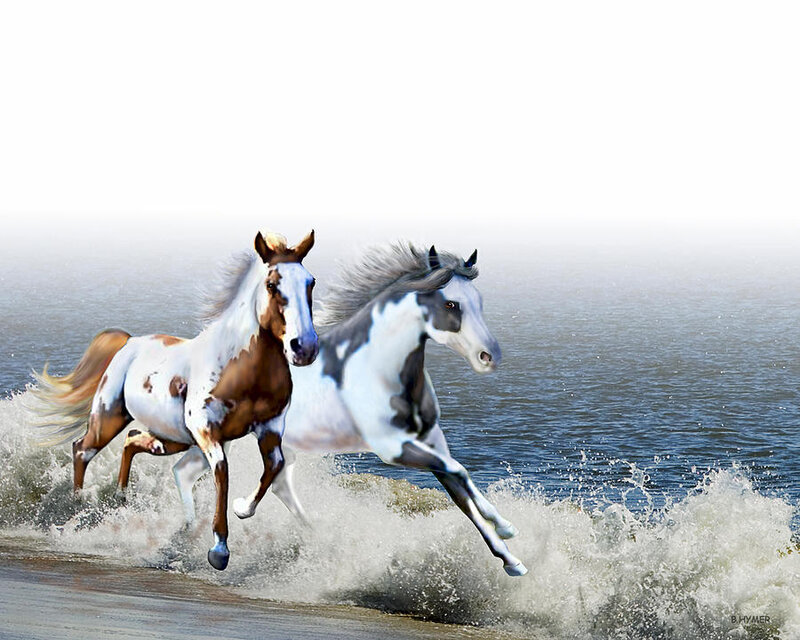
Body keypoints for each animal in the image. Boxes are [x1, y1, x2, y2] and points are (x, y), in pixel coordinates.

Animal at [30, 230, 318, 571]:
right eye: (272, 284)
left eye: (310, 282)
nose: (305, 348)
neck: (240, 368)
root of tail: (129, 342)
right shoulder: (207, 431)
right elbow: (222, 471)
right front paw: (219, 550)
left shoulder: (270, 428)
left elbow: (275, 466)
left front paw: (242, 508)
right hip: (109, 416)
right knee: (82, 450)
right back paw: (75, 508)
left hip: (171, 439)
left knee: (132, 441)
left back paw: (122, 499)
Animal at [119, 242, 528, 576]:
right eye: (450, 304)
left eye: (479, 301)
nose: (489, 356)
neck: (379, 368)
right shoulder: (393, 448)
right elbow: (459, 472)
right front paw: (507, 528)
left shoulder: (431, 439)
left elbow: (460, 487)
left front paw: (511, 558)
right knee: (192, 471)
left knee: (230, 477)